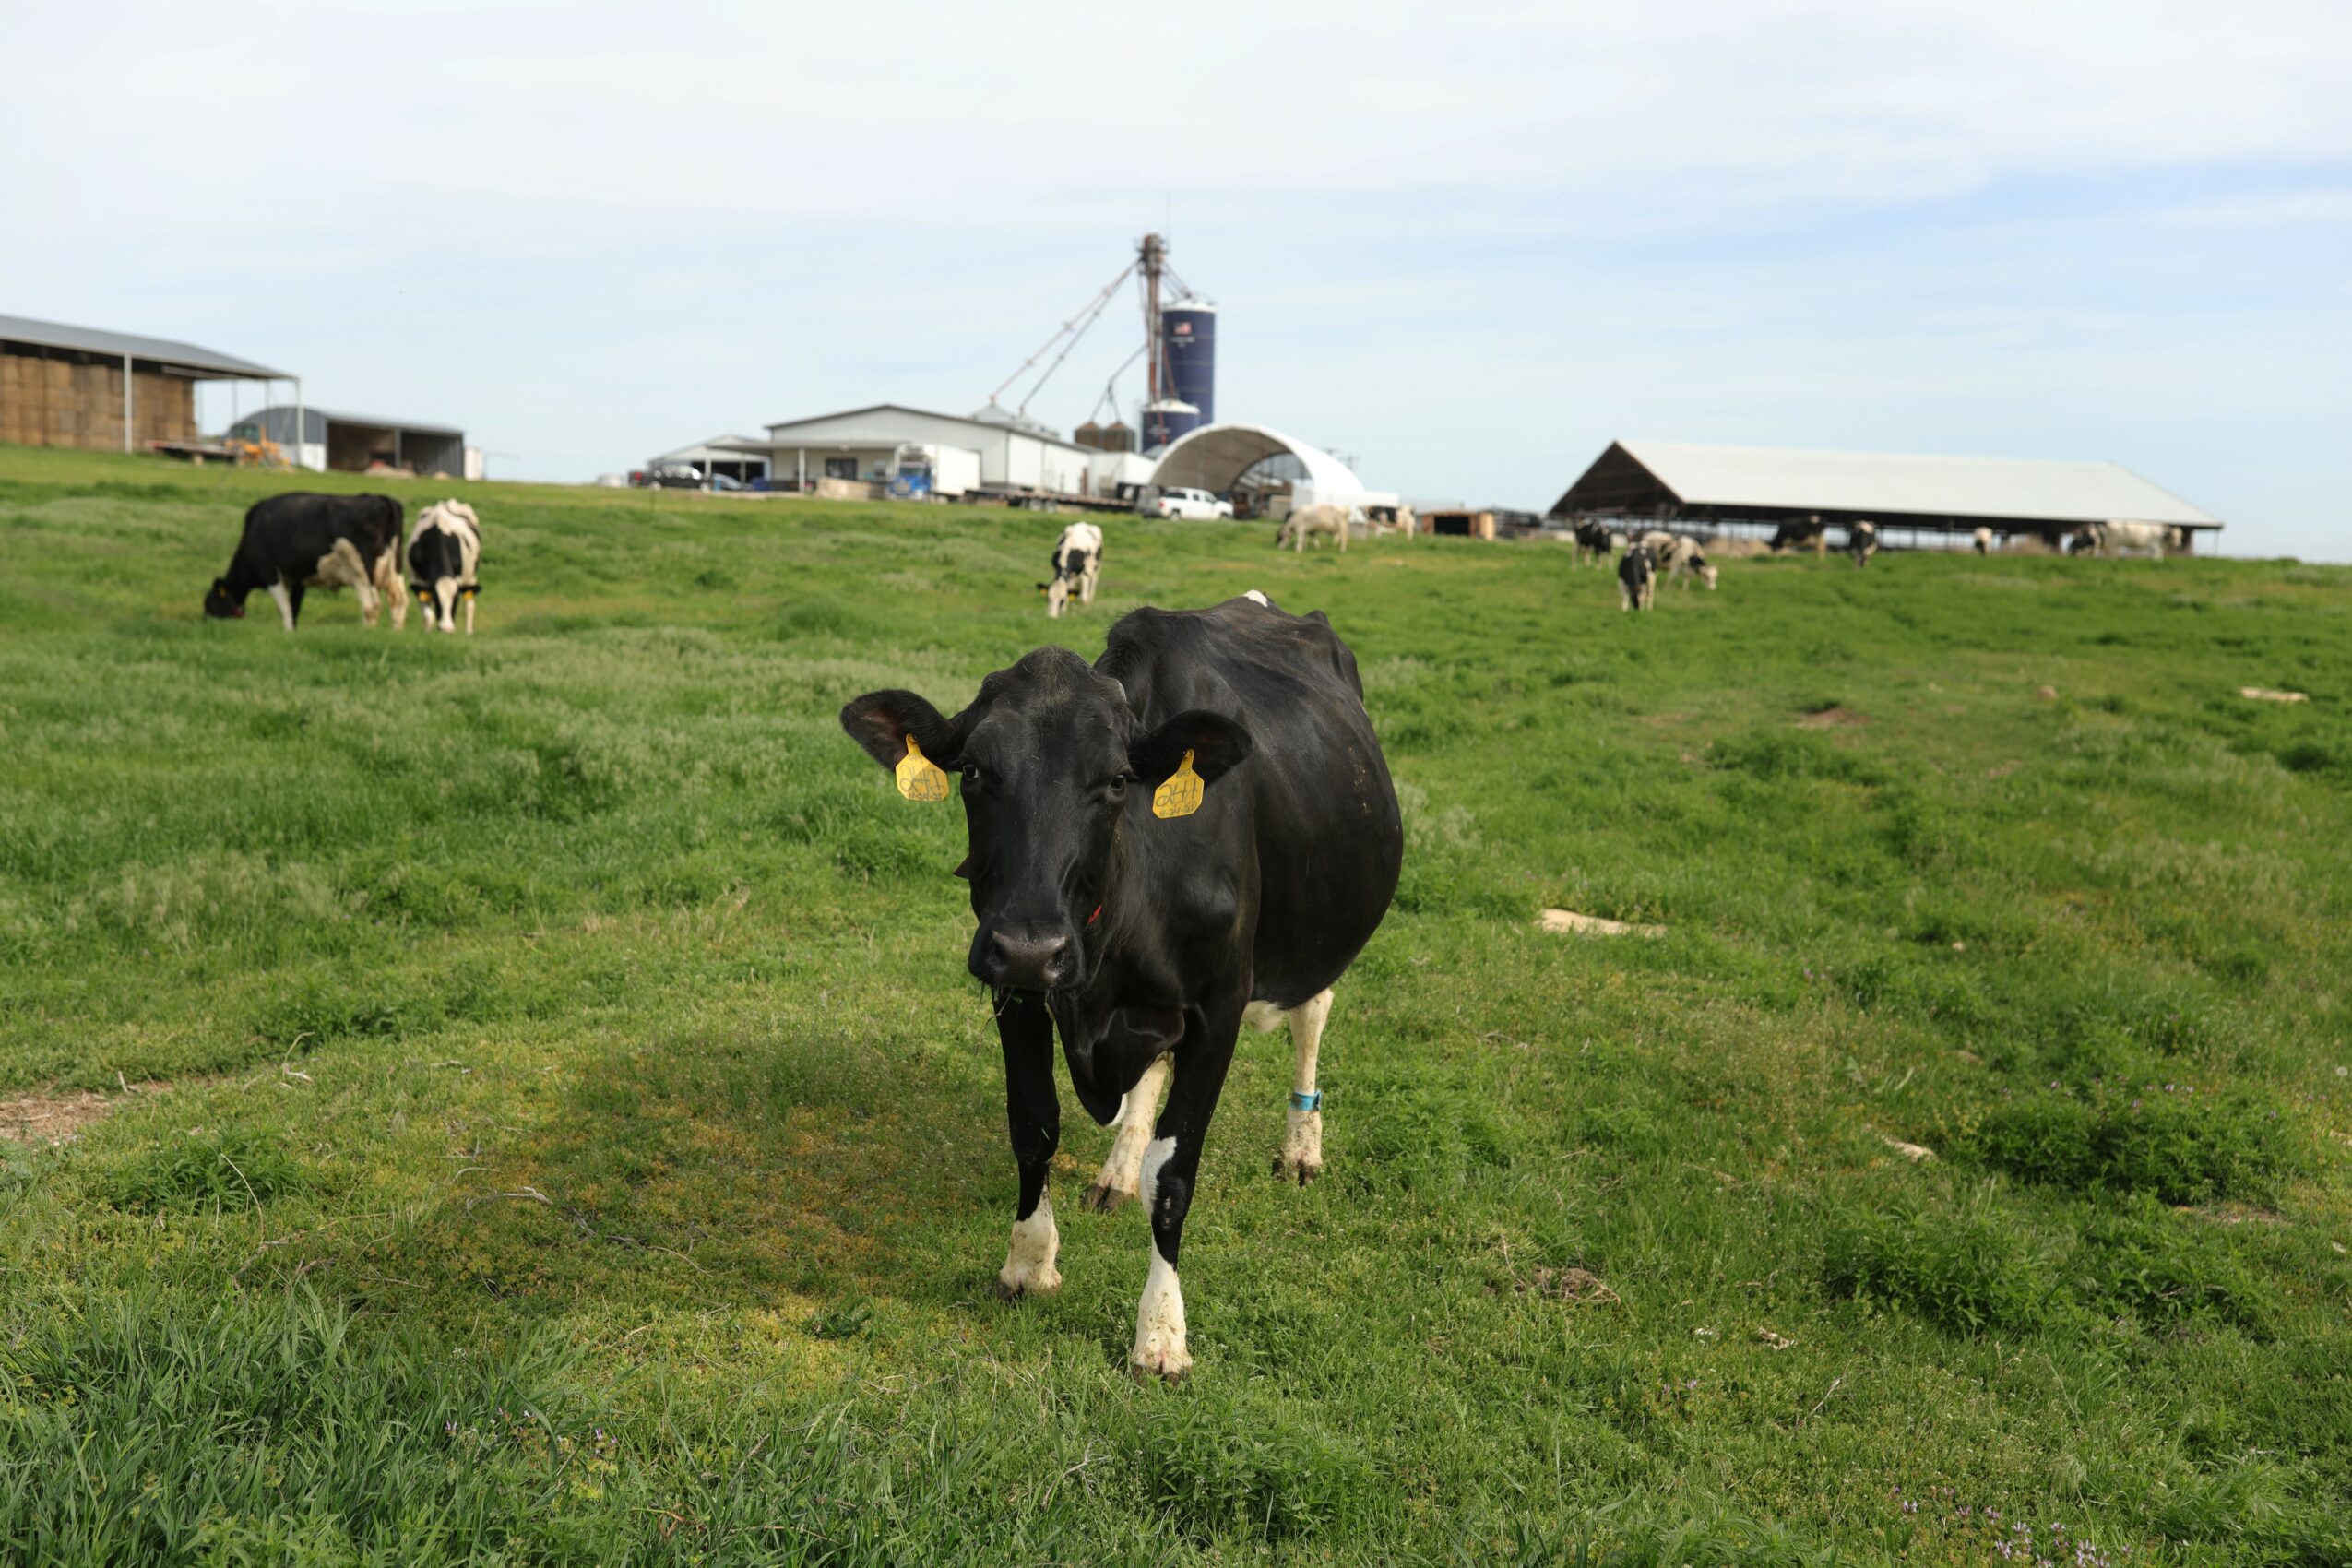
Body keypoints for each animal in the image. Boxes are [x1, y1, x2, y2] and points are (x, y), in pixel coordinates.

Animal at [203, 492, 405, 630]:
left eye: (210, 604)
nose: (206, 624)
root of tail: (379, 498)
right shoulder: (297, 578)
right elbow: (294, 607)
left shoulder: (270, 572)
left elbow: (284, 608)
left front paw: (287, 632)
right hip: (395, 569)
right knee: (399, 601)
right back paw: (395, 631)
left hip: (361, 573)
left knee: (370, 606)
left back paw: (365, 632)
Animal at [408, 499, 483, 634]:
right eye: (436, 599)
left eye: (456, 600)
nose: (446, 629)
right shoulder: (417, 581)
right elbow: (428, 616)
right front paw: (427, 632)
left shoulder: (458, 578)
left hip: (471, 575)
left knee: (469, 605)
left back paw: (469, 632)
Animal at [839, 593, 1402, 1380]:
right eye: (974, 771)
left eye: (1114, 780)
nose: (1032, 945)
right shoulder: (1016, 990)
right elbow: (1034, 1127)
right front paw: (1029, 1262)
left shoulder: (1218, 1006)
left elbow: (1173, 1176)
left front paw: (1161, 1333)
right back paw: (1117, 1167)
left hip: (1318, 932)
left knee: (1311, 1015)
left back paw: (1300, 1150)